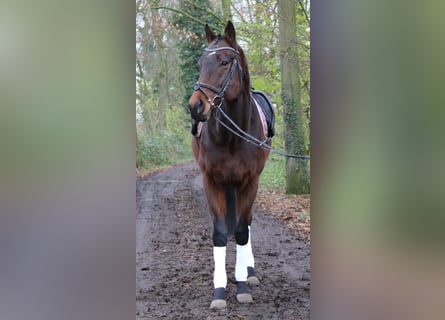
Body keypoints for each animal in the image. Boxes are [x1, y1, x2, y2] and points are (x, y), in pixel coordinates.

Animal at [187, 20, 270, 310]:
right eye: (200, 63)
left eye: (224, 62)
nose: (195, 107)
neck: (234, 136)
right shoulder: (212, 181)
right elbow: (221, 233)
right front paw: (220, 290)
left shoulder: (250, 182)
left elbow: (242, 231)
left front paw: (243, 284)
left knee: (247, 222)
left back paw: (250, 271)